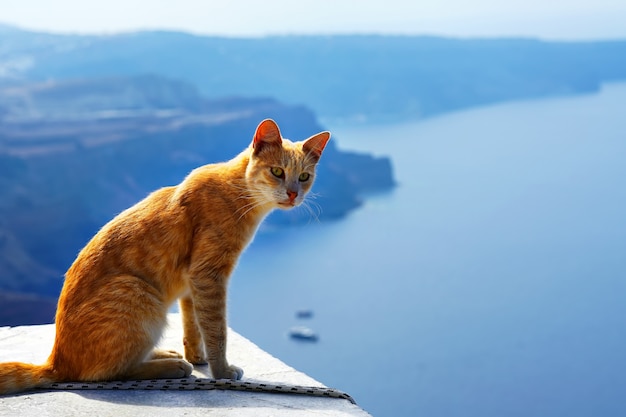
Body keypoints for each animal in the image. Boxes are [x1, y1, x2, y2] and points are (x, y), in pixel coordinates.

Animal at [0, 118, 330, 394]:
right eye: (277, 172)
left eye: (304, 176)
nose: (293, 194)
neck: (237, 191)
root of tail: (56, 361)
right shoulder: (208, 275)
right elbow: (216, 329)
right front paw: (221, 371)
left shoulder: (191, 284)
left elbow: (193, 325)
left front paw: (198, 357)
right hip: (139, 294)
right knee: (105, 373)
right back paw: (169, 366)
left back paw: (165, 355)